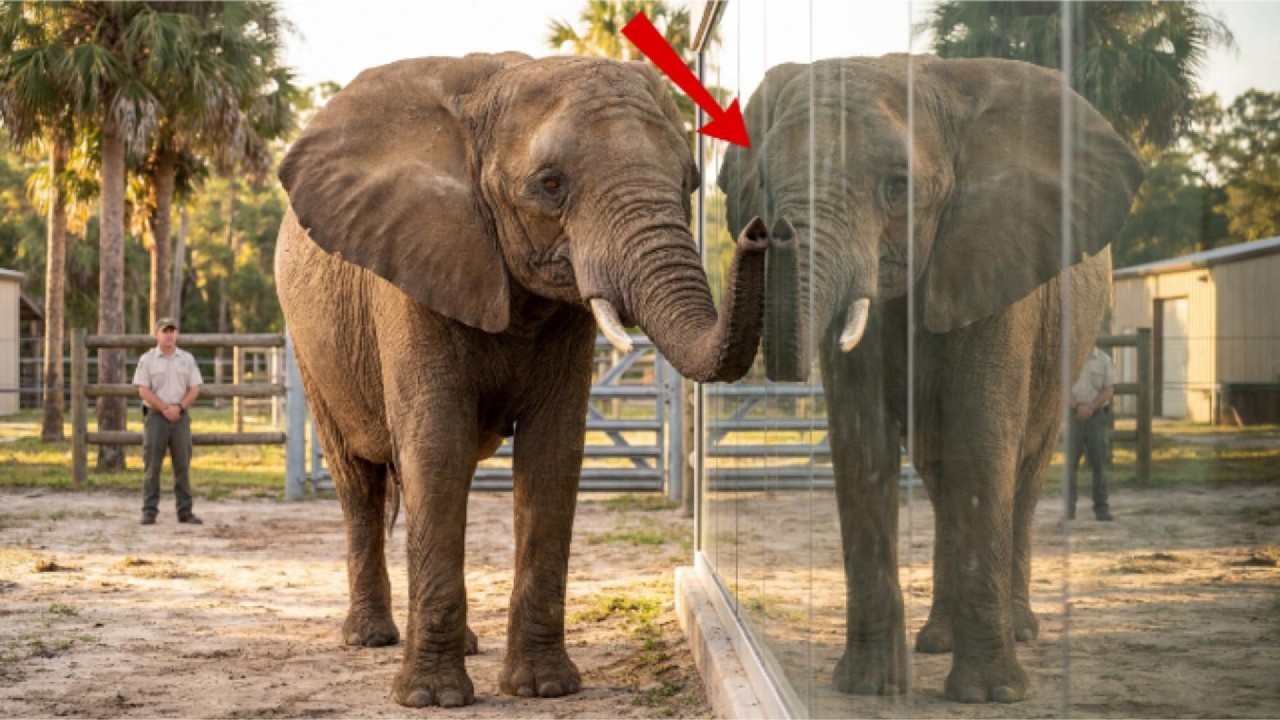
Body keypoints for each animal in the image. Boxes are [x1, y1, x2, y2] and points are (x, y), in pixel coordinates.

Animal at [275, 52, 769, 708]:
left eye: (690, 181)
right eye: (550, 184)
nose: (759, 230)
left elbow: (553, 453)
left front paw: (544, 689)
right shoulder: (410, 272)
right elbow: (436, 445)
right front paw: (432, 699)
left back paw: (460, 645)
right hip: (310, 345)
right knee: (359, 481)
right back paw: (370, 638)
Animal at [718, 55, 1142, 703]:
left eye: (898, 186)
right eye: (761, 181)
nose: (774, 233)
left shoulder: (1000, 270)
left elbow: (983, 446)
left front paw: (989, 696)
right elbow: (861, 447)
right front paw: (868, 687)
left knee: (1022, 472)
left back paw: (1020, 631)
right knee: (942, 480)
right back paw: (936, 640)